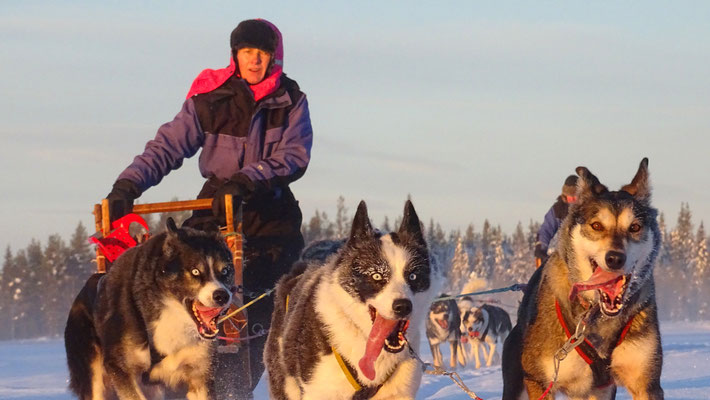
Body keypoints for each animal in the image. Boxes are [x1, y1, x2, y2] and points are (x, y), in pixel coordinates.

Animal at [65, 219, 236, 400]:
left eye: (225, 271)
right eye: (195, 271)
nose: (222, 296)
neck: (172, 315)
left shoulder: (200, 374)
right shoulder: (120, 368)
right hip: (94, 377)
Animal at [504, 159, 664, 400]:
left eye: (635, 227)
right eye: (596, 225)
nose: (615, 258)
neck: (597, 315)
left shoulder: (646, 385)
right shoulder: (541, 382)